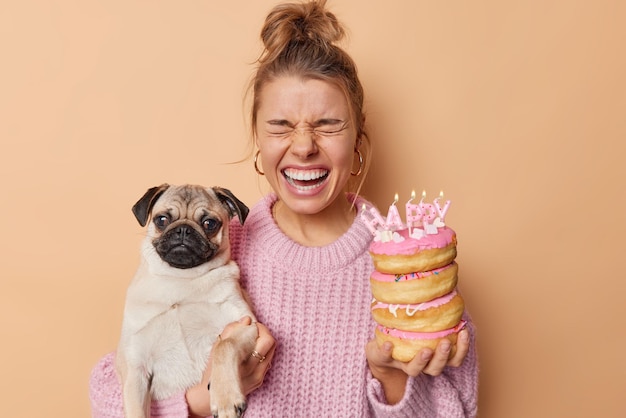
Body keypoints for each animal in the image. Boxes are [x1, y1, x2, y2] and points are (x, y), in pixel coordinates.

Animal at [116, 185, 258, 418]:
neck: (182, 279)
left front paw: (226, 399)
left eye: (209, 223)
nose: (183, 229)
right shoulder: (135, 366)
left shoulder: (247, 325)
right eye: (162, 220)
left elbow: (224, 345)